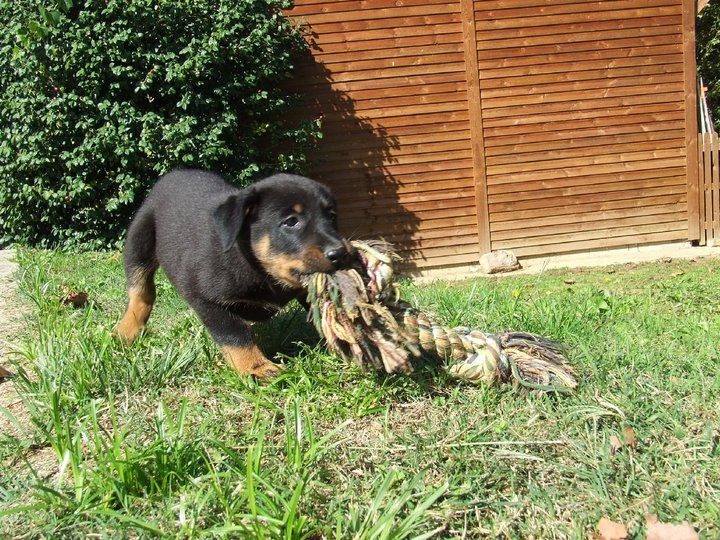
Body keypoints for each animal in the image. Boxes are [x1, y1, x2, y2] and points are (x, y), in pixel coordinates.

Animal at [115, 171, 352, 378]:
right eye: (291, 221)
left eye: (331, 216)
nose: (340, 253)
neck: (260, 269)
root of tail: (175, 173)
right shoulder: (205, 299)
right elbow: (234, 334)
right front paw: (257, 367)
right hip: (139, 240)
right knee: (141, 291)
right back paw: (126, 331)